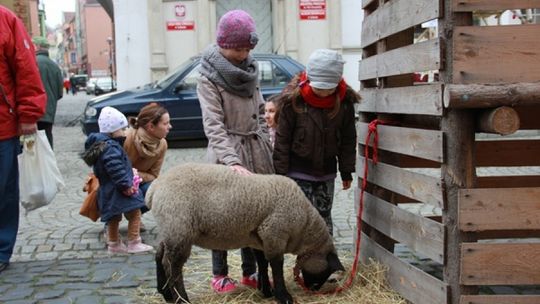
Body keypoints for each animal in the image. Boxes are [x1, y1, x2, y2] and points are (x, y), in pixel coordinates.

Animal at [149, 164, 342, 304]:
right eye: (327, 271)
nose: (313, 290)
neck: (304, 224)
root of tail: (155, 188)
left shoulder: (260, 238)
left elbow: (263, 263)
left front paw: (266, 291)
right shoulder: (275, 233)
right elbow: (276, 266)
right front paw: (283, 296)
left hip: (170, 228)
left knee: (160, 255)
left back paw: (166, 294)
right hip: (180, 228)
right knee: (172, 266)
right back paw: (181, 299)